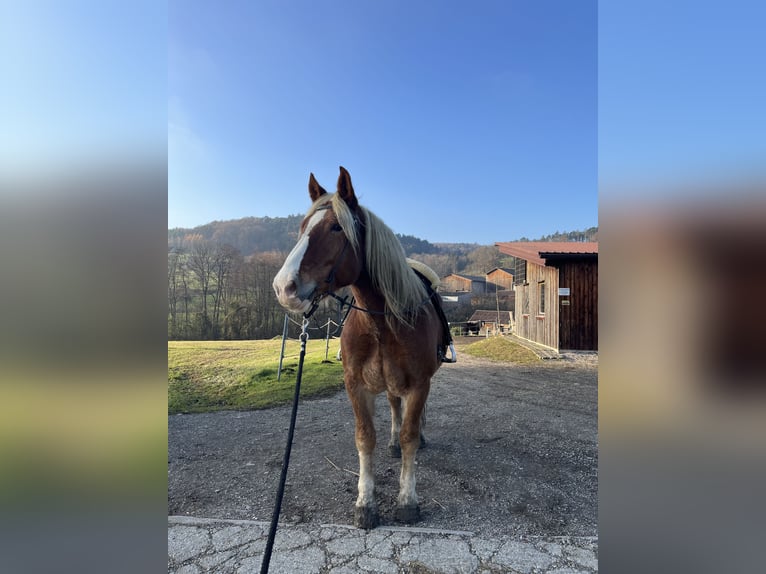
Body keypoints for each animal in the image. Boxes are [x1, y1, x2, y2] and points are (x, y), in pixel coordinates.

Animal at [273, 166, 452, 529]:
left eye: (336, 227)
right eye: (302, 227)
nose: (284, 287)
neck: (382, 322)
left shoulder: (419, 384)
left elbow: (411, 435)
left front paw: (407, 500)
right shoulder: (356, 385)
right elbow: (365, 437)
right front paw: (365, 502)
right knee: (395, 407)